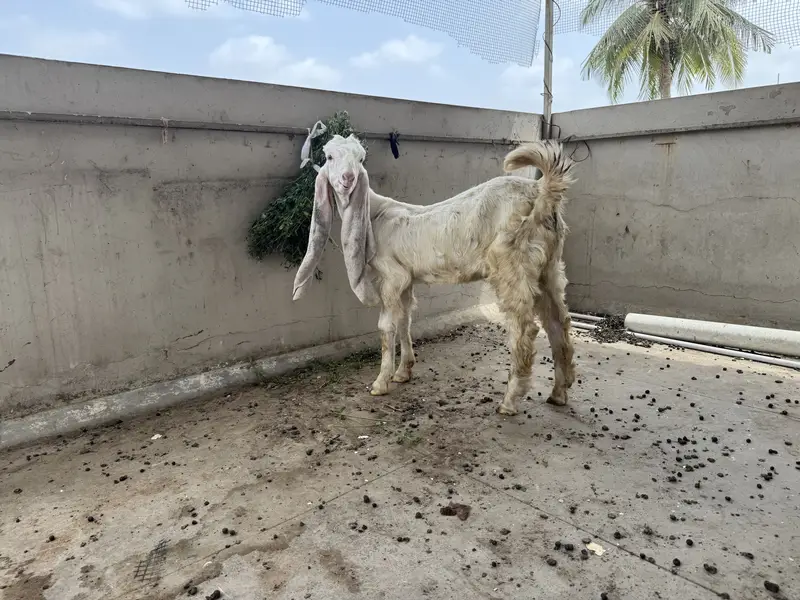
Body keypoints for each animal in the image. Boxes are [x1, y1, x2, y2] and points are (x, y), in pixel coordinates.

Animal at [292, 134, 576, 416]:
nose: (348, 178)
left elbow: (386, 327)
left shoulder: (392, 277)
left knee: (525, 328)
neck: (375, 214)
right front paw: (403, 372)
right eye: (329, 156)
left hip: (512, 262)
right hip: (549, 266)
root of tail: (542, 193)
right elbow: (404, 321)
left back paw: (510, 400)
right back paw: (559, 392)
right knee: (558, 322)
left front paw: (381, 382)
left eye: (361, 158)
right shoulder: (406, 279)